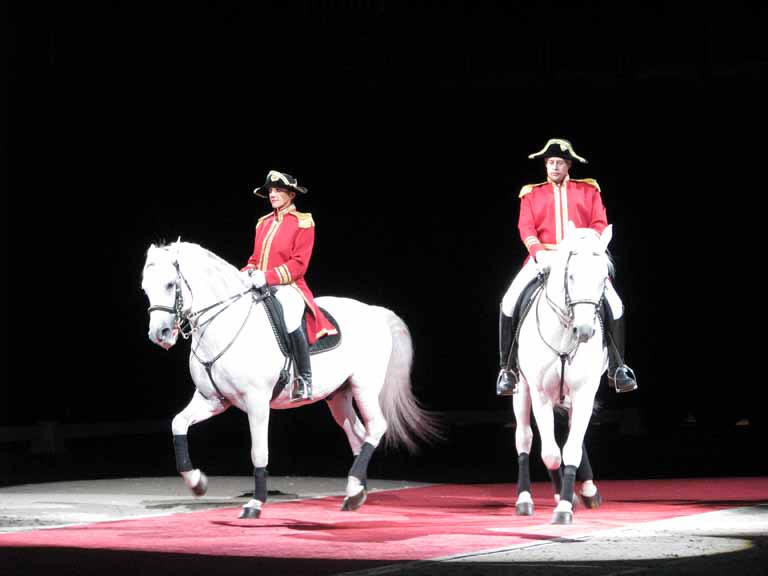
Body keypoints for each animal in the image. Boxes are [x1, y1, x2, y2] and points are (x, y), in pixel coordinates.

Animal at [142, 241, 440, 520]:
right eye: (145, 288)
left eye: (170, 284)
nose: (160, 334)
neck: (225, 322)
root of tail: (373, 311)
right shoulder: (212, 399)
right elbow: (178, 424)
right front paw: (197, 482)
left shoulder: (257, 402)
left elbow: (259, 451)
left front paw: (255, 503)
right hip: (339, 396)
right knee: (358, 434)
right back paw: (355, 492)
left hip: (364, 385)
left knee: (376, 427)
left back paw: (355, 487)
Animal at [512, 223, 616, 524]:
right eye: (570, 275)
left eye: (603, 278)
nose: (585, 331)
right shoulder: (539, 393)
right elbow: (550, 453)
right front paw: (562, 497)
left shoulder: (584, 392)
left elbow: (571, 447)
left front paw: (567, 504)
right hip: (520, 390)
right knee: (524, 437)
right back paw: (525, 498)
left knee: (572, 435)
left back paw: (588, 491)